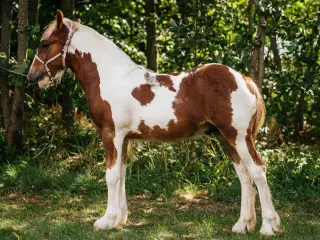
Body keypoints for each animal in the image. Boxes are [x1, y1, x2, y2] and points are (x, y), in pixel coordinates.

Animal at [28, 9, 280, 236]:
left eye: (45, 44)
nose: (32, 76)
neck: (111, 78)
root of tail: (245, 79)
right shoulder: (123, 139)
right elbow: (122, 174)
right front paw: (119, 220)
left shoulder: (111, 135)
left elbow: (111, 176)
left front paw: (105, 220)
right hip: (225, 138)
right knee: (244, 175)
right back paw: (242, 225)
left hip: (239, 137)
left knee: (258, 171)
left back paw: (269, 227)